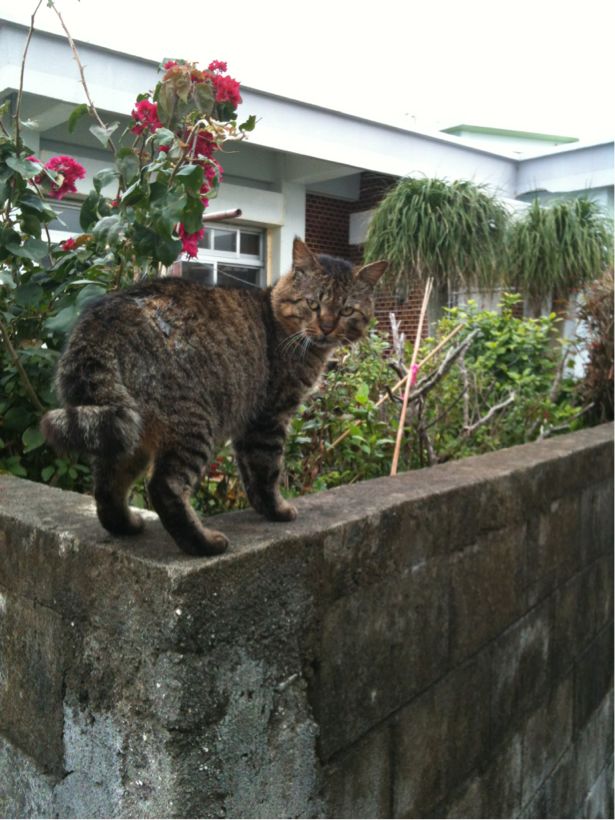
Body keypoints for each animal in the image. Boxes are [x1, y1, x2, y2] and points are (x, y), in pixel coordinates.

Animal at [41, 238, 386, 556]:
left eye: (346, 310)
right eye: (313, 304)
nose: (327, 327)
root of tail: (106, 314)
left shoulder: (247, 425)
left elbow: (250, 475)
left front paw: (262, 508)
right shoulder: (270, 418)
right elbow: (268, 470)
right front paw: (277, 510)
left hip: (131, 429)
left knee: (107, 481)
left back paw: (125, 525)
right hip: (193, 423)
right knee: (163, 486)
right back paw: (203, 543)